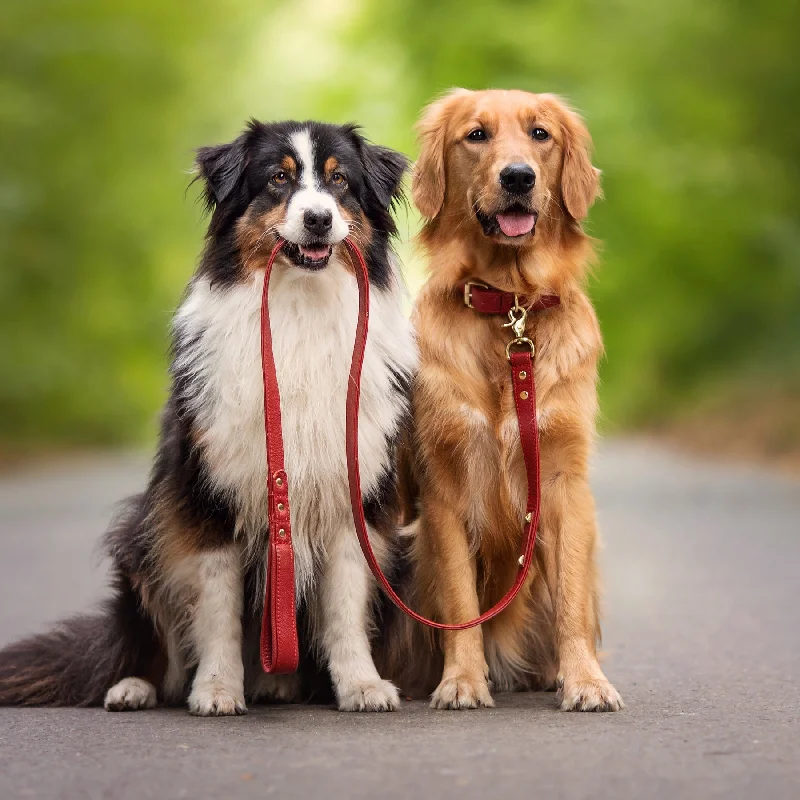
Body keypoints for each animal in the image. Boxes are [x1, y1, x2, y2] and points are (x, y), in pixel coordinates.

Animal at [3, 117, 418, 712]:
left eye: (340, 182)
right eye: (277, 179)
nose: (318, 218)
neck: (299, 309)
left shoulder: (351, 496)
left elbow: (344, 605)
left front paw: (361, 684)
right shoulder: (208, 495)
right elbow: (218, 609)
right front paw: (218, 689)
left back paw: (276, 681)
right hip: (142, 536)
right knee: (147, 642)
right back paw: (134, 686)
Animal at [382, 89, 624, 712]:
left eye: (541, 134)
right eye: (476, 135)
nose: (518, 176)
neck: (509, 304)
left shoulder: (562, 480)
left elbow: (571, 603)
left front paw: (585, 680)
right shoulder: (445, 487)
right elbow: (461, 601)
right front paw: (462, 681)